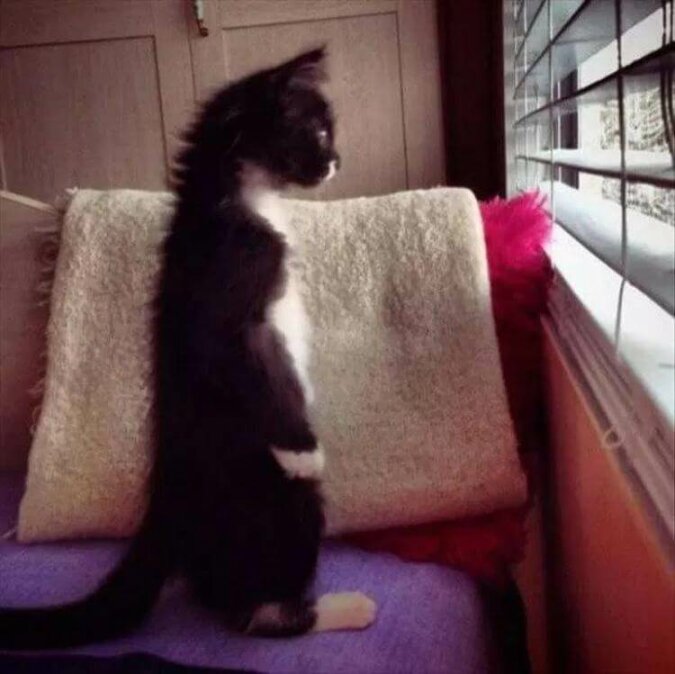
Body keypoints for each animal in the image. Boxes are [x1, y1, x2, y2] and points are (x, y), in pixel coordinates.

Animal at [0, 47, 376, 649]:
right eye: (318, 131)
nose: (337, 160)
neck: (230, 202)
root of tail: (165, 500)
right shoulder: (225, 313)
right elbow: (250, 373)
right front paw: (304, 450)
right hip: (271, 498)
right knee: (252, 611)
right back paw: (334, 608)